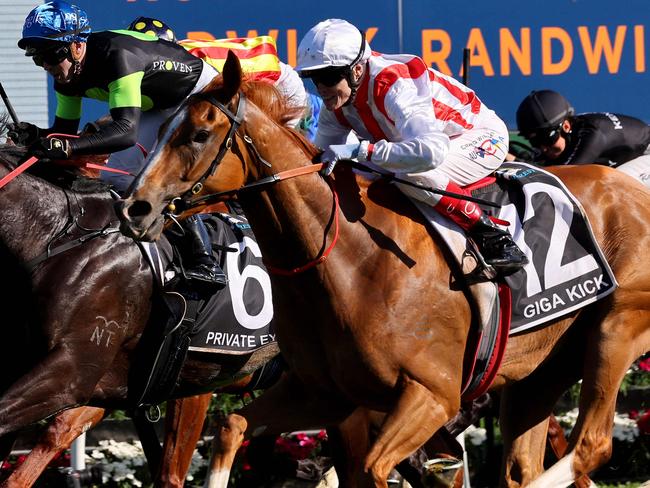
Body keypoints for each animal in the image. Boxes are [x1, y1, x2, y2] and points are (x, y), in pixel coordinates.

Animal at [116, 51, 648, 486]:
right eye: (159, 132)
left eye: (198, 135)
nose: (134, 209)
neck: (351, 262)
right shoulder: (324, 393)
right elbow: (231, 427)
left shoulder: (432, 395)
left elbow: (374, 468)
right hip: (540, 369)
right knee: (523, 467)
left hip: (616, 328)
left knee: (591, 447)